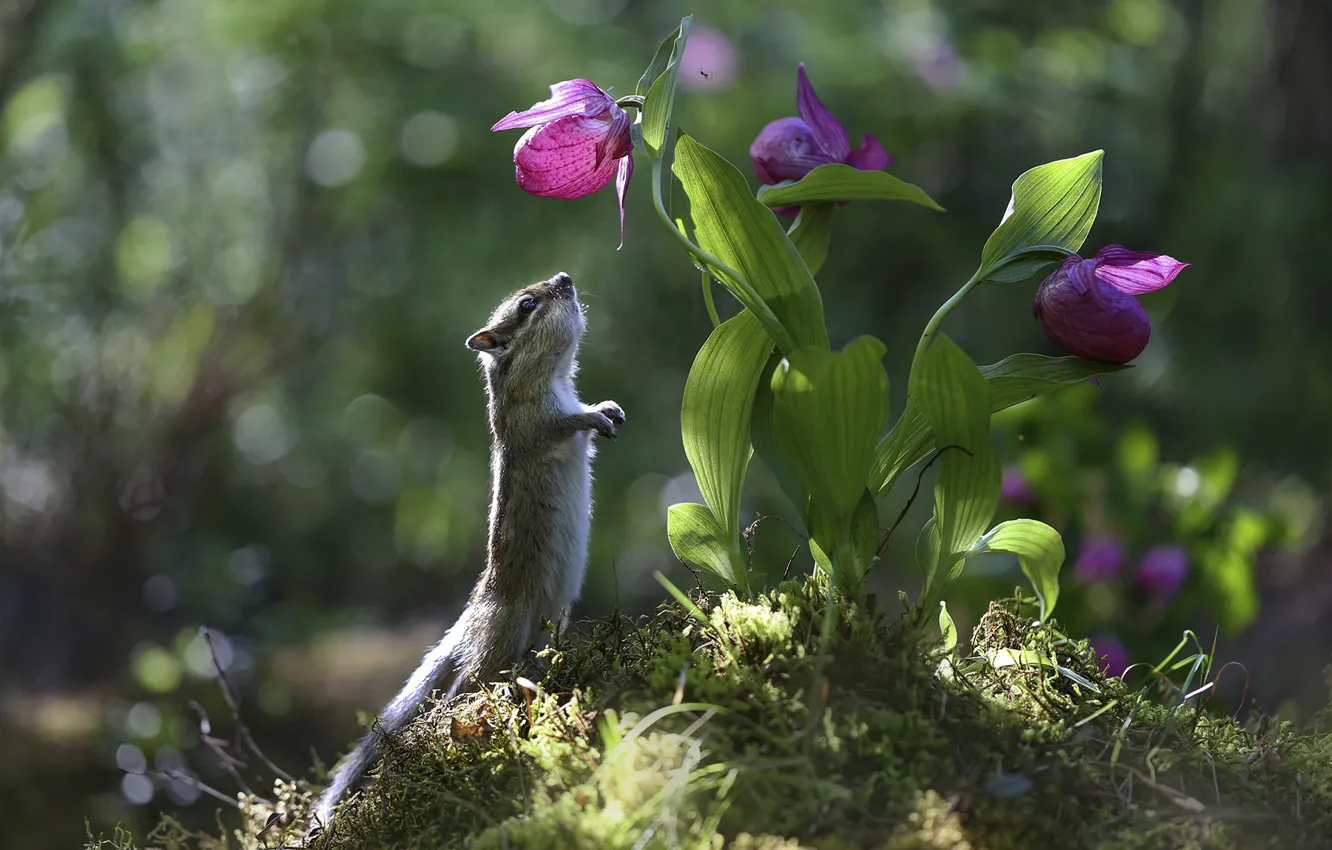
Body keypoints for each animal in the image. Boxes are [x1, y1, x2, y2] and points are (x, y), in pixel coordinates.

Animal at [308, 272, 624, 832]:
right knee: (465, 688)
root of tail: (476, 605)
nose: (565, 279)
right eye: (528, 304)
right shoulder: (536, 421)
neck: (551, 376)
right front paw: (591, 416)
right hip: (503, 635)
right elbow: (565, 425)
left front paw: (608, 409)